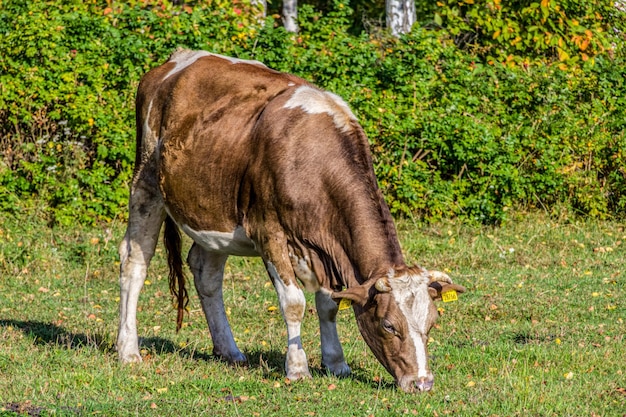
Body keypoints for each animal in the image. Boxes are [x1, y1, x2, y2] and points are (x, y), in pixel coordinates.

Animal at [118, 48, 464, 394]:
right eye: (388, 325)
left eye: (432, 323)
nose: (422, 382)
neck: (312, 161)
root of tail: (178, 58)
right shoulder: (268, 232)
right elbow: (294, 302)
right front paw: (298, 369)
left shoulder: (324, 247)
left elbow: (328, 304)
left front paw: (336, 363)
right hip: (146, 182)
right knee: (134, 263)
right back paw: (128, 350)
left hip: (214, 213)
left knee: (206, 272)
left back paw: (229, 350)